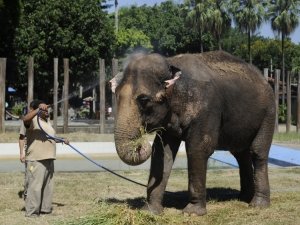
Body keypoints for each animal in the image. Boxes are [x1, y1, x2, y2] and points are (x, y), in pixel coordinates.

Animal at [112, 50, 274, 215]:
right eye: (116, 95)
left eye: (143, 99)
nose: (140, 144)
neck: (171, 64)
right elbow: (162, 153)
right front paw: (150, 211)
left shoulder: (206, 109)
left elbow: (198, 148)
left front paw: (192, 213)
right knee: (240, 154)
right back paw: (243, 197)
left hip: (268, 114)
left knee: (257, 152)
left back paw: (258, 204)